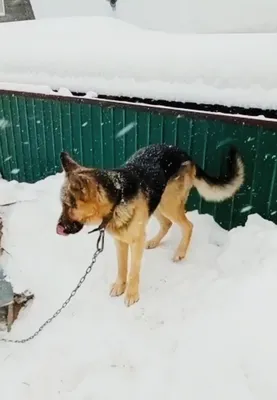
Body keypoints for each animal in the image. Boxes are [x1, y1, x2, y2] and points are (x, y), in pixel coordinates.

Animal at [56, 143, 244, 306]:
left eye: (68, 206)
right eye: (63, 205)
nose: (58, 229)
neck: (117, 199)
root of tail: (184, 153)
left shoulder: (135, 241)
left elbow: (133, 271)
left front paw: (131, 295)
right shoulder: (120, 242)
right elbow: (122, 267)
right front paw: (119, 286)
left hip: (168, 204)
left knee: (188, 226)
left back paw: (180, 253)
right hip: (158, 203)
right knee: (167, 223)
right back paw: (154, 242)